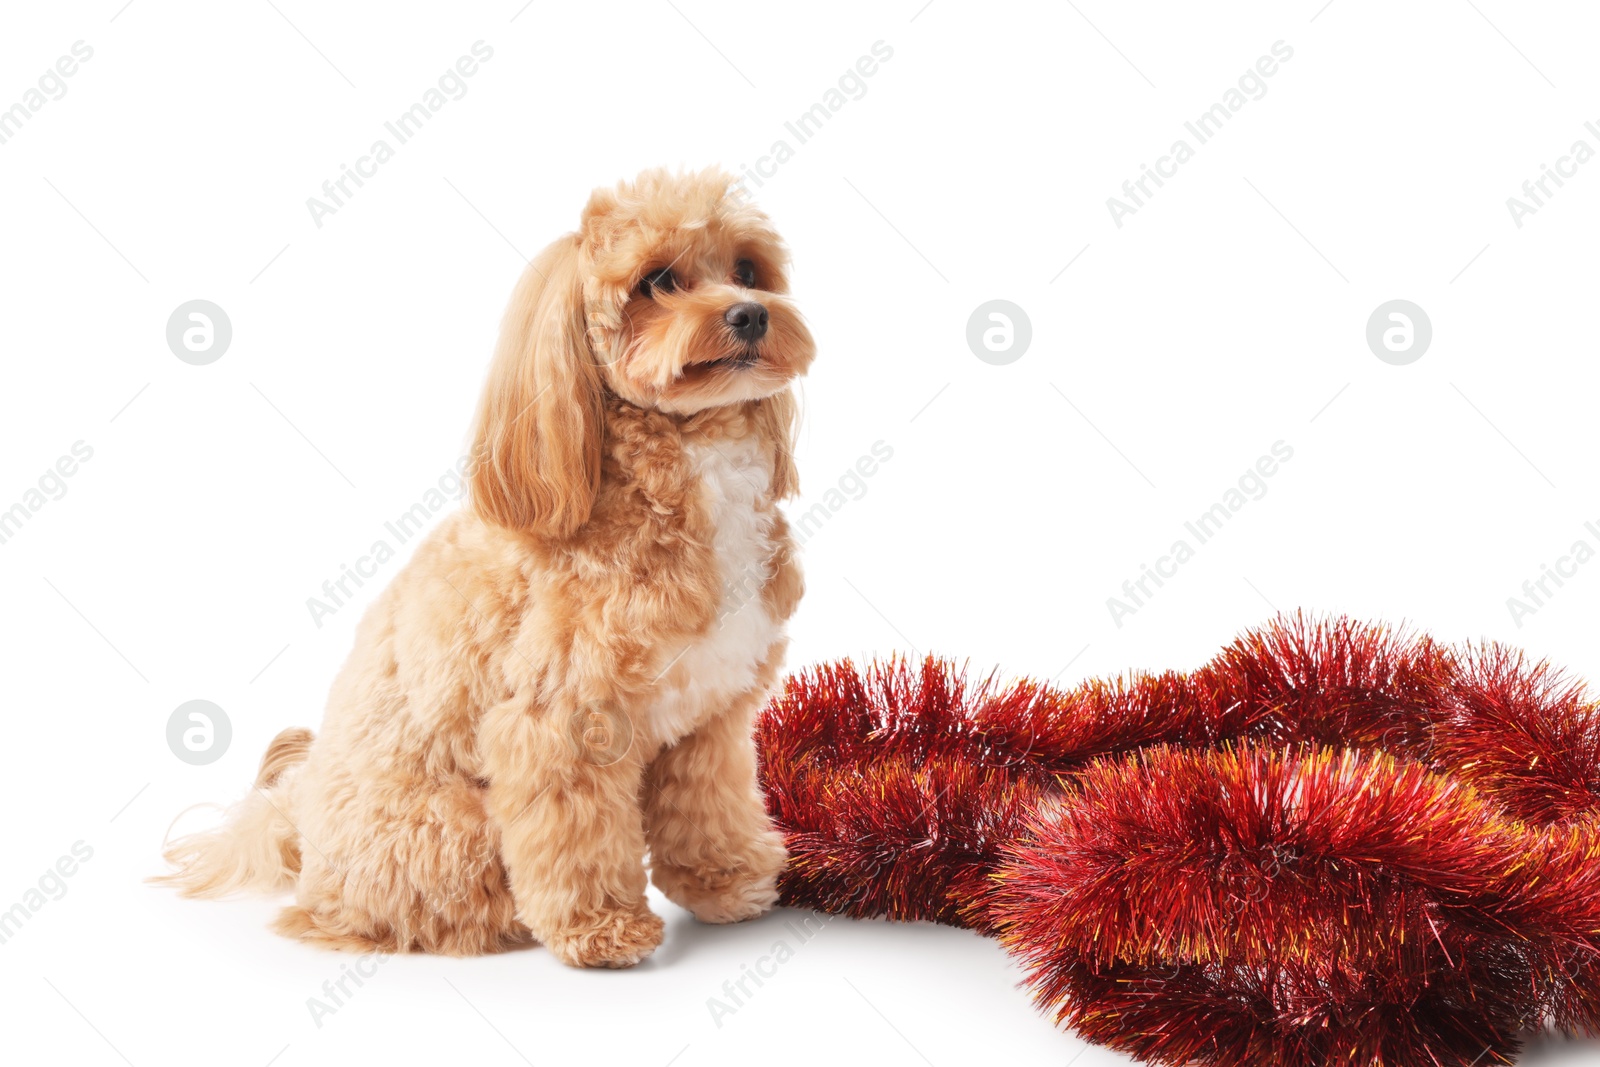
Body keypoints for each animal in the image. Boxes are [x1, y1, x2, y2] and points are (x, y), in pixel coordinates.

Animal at [152, 167, 812, 966]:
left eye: (747, 270)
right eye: (657, 281)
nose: (750, 314)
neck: (693, 464)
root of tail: (299, 824)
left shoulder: (711, 716)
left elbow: (708, 803)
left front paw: (725, 880)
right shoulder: (560, 721)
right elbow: (576, 833)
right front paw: (600, 927)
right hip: (454, 833)